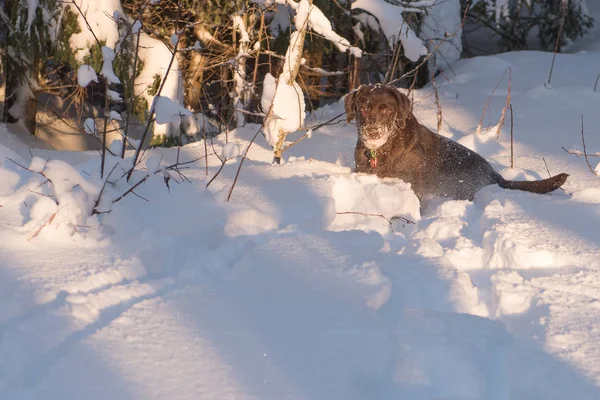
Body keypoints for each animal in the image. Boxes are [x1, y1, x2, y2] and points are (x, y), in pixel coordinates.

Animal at [344, 84, 568, 203]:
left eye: (387, 110)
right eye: (363, 108)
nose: (373, 131)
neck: (382, 150)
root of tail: (495, 176)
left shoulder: (415, 185)